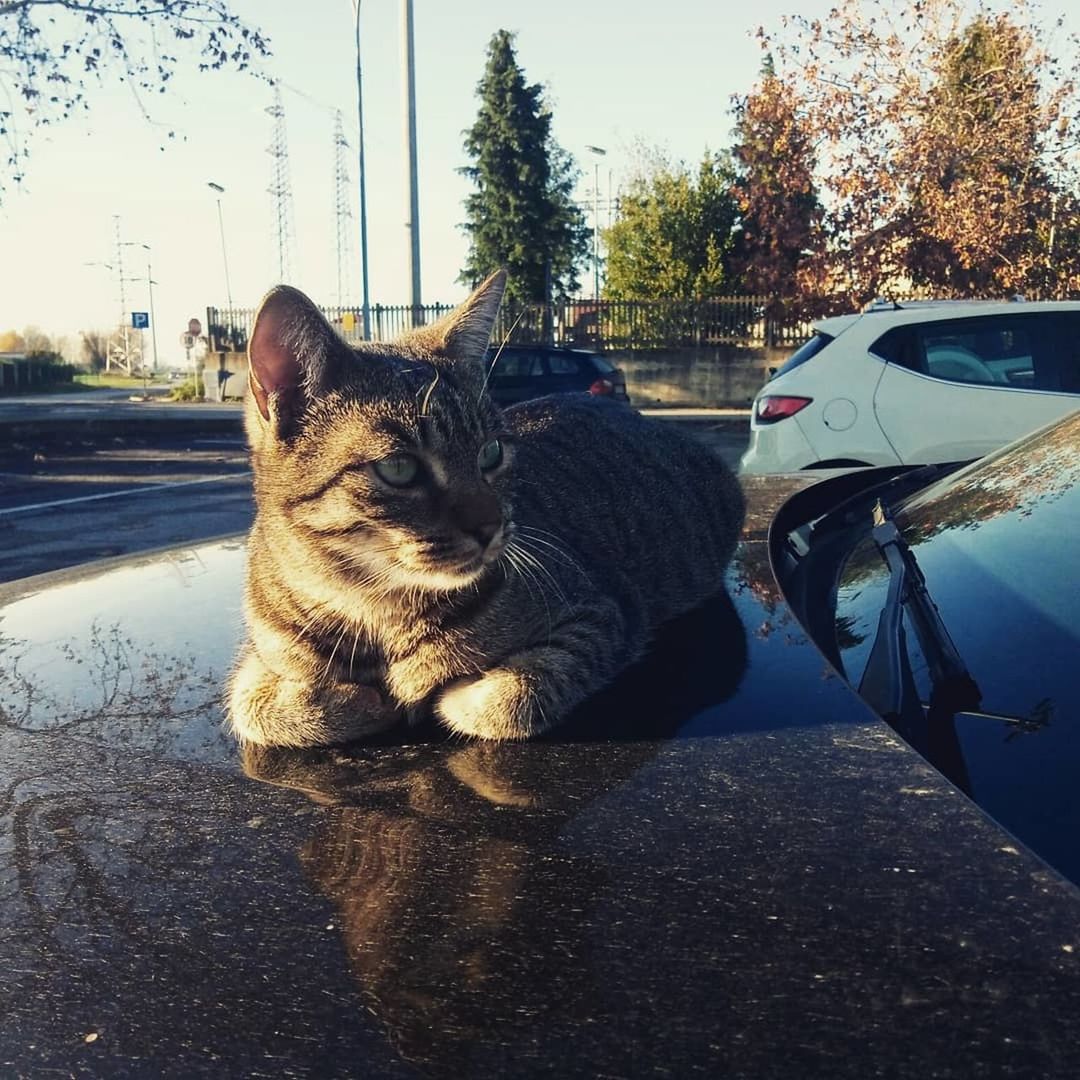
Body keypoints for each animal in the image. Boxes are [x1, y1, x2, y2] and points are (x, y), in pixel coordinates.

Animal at [230, 270, 743, 747]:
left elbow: (512, 695)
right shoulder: (259, 657)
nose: (491, 527)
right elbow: (253, 707)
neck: (376, 612)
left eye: (491, 453)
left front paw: (441, 692)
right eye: (399, 468)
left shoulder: (604, 613)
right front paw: (358, 700)